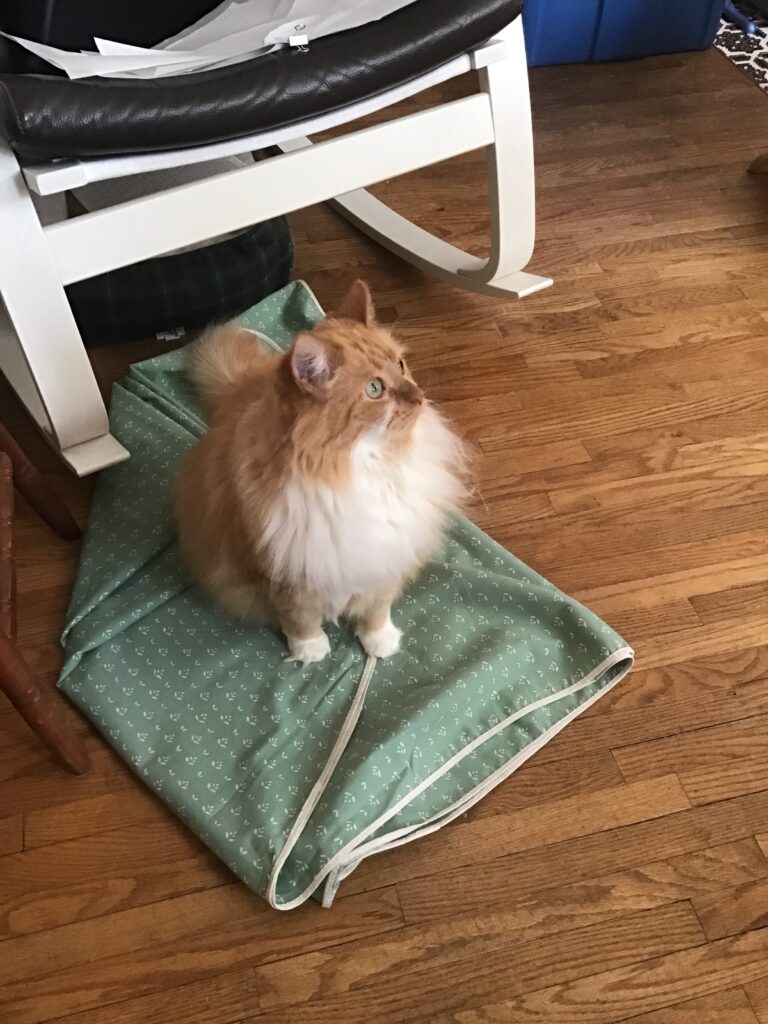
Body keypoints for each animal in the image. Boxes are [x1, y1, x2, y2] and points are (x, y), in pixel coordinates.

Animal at [176, 280, 468, 663]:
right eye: (374, 389)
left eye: (401, 365)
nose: (419, 397)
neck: (362, 468)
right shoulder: (281, 572)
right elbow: (298, 618)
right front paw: (310, 650)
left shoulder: (385, 558)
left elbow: (377, 608)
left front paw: (379, 641)